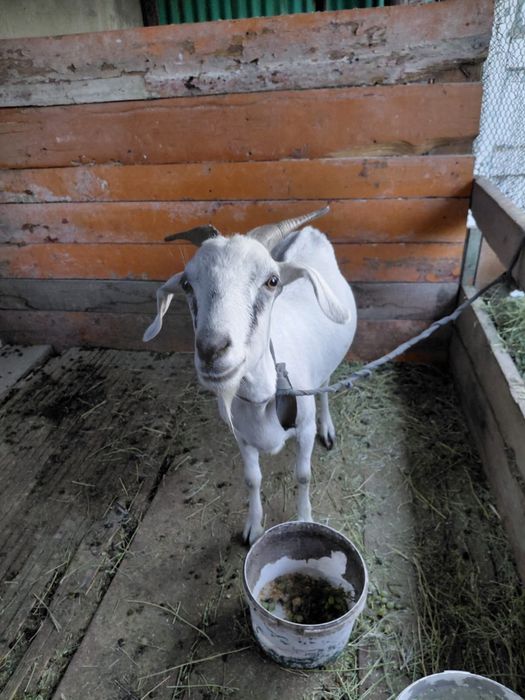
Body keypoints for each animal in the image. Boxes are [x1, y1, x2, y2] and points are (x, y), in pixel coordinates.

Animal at [143, 207, 357, 544]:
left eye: (272, 281)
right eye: (187, 284)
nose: (212, 350)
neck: (261, 396)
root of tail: (308, 232)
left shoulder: (303, 428)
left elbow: (303, 475)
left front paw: (304, 519)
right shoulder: (241, 437)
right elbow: (252, 479)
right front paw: (253, 528)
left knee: (323, 387)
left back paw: (328, 429)